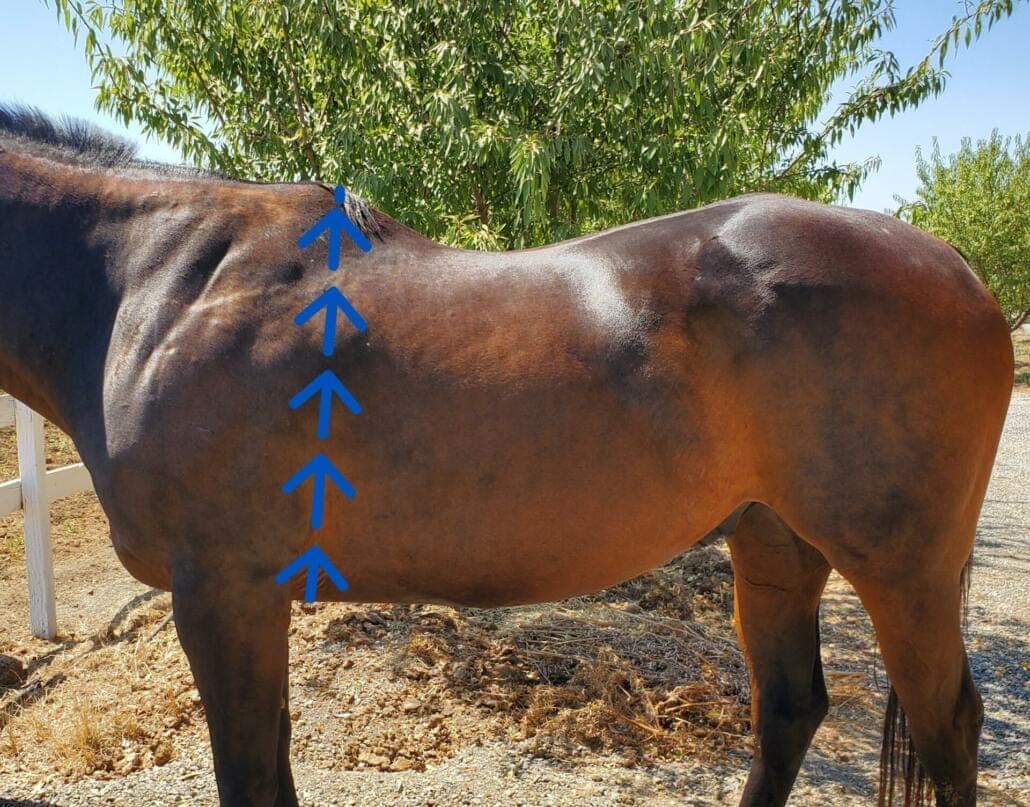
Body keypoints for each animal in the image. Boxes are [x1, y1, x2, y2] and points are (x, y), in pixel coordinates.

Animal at [0, 105, 1013, 807]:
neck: (158, 284)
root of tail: (959, 268)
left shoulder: (224, 594)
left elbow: (250, 776)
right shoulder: (252, 599)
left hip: (905, 571)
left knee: (949, 729)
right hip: (773, 545)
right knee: (790, 709)